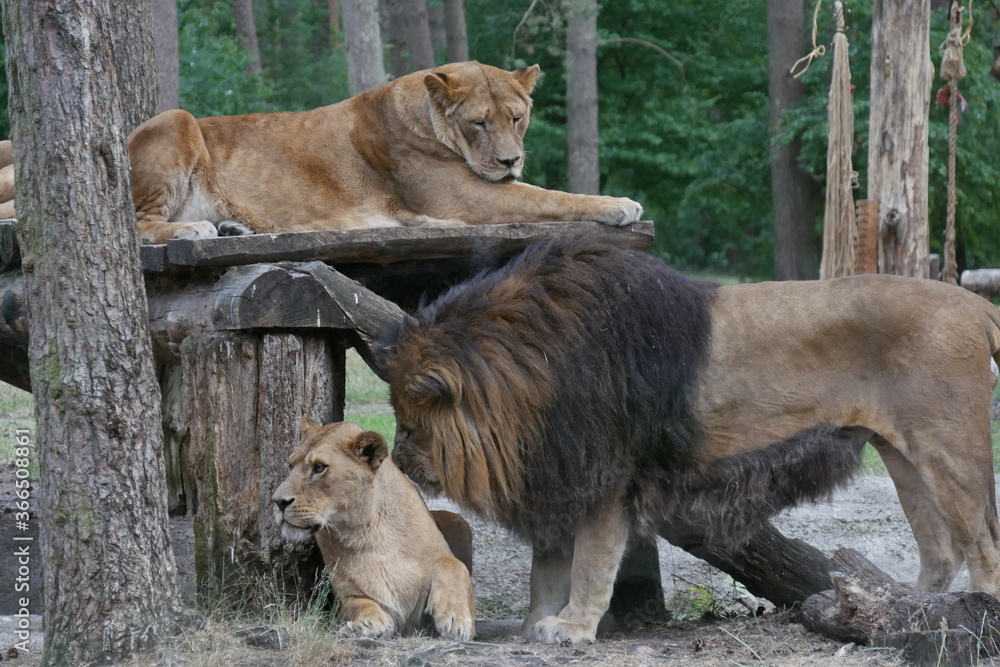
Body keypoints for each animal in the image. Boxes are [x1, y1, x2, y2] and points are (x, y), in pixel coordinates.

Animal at [271, 419, 475, 640]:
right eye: (290, 465)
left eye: (319, 467)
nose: (278, 502)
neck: (365, 529)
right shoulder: (346, 595)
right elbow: (361, 603)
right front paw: (365, 624)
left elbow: (452, 563)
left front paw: (455, 619)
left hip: (459, 521)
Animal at [379, 234, 1000, 645]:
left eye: (409, 423)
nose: (399, 461)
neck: (531, 376)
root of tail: (972, 302)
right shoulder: (559, 475)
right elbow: (545, 567)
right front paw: (534, 625)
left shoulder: (606, 479)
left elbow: (590, 563)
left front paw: (573, 628)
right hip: (902, 454)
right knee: (940, 548)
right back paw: (905, 614)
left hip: (950, 450)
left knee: (983, 544)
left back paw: (974, 616)